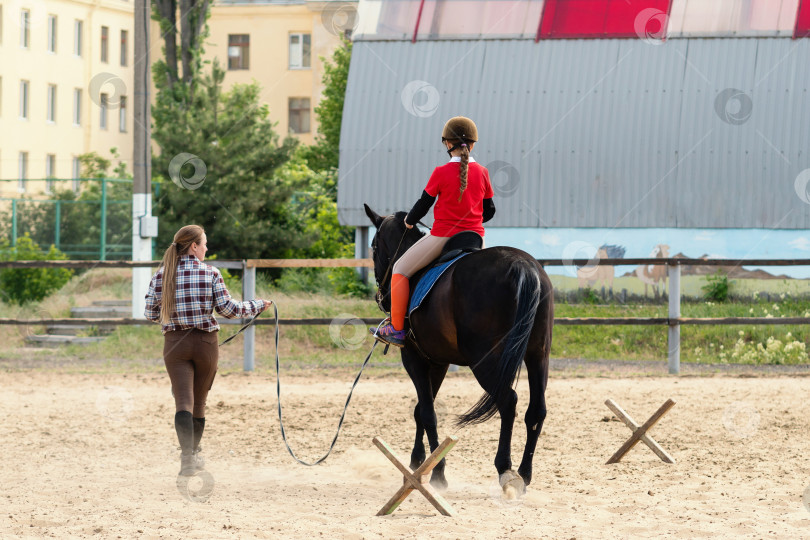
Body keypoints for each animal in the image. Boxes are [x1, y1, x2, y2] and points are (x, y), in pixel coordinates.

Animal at [362, 205, 552, 492]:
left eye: (374, 246)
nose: (382, 297)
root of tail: (524, 266)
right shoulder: (438, 362)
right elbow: (421, 410)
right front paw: (417, 463)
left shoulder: (413, 358)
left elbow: (428, 413)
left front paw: (437, 473)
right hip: (537, 356)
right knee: (536, 410)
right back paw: (524, 474)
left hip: (484, 361)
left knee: (508, 401)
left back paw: (505, 470)